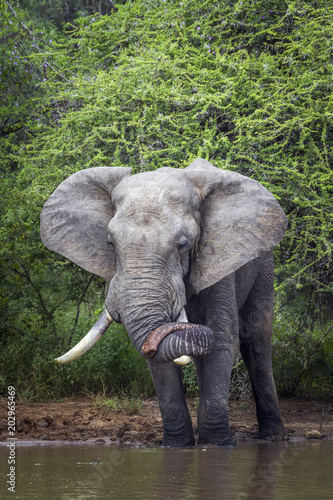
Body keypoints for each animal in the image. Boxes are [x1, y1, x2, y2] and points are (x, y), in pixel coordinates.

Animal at [40, 159, 286, 446]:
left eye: (183, 244)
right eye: (110, 243)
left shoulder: (219, 260)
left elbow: (223, 340)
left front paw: (216, 445)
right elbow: (160, 357)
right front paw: (177, 446)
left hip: (264, 263)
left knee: (256, 338)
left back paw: (273, 437)